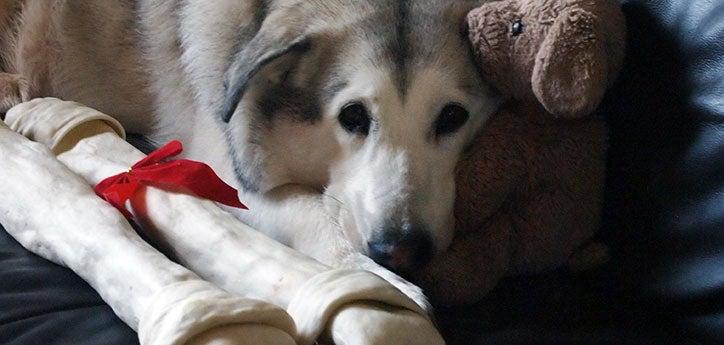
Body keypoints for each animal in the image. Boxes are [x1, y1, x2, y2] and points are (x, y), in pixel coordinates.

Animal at [0, 0, 500, 306]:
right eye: (354, 116)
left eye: (452, 116)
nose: (401, 250)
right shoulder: (220, 162)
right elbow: (311, 208)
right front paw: (374, 278)